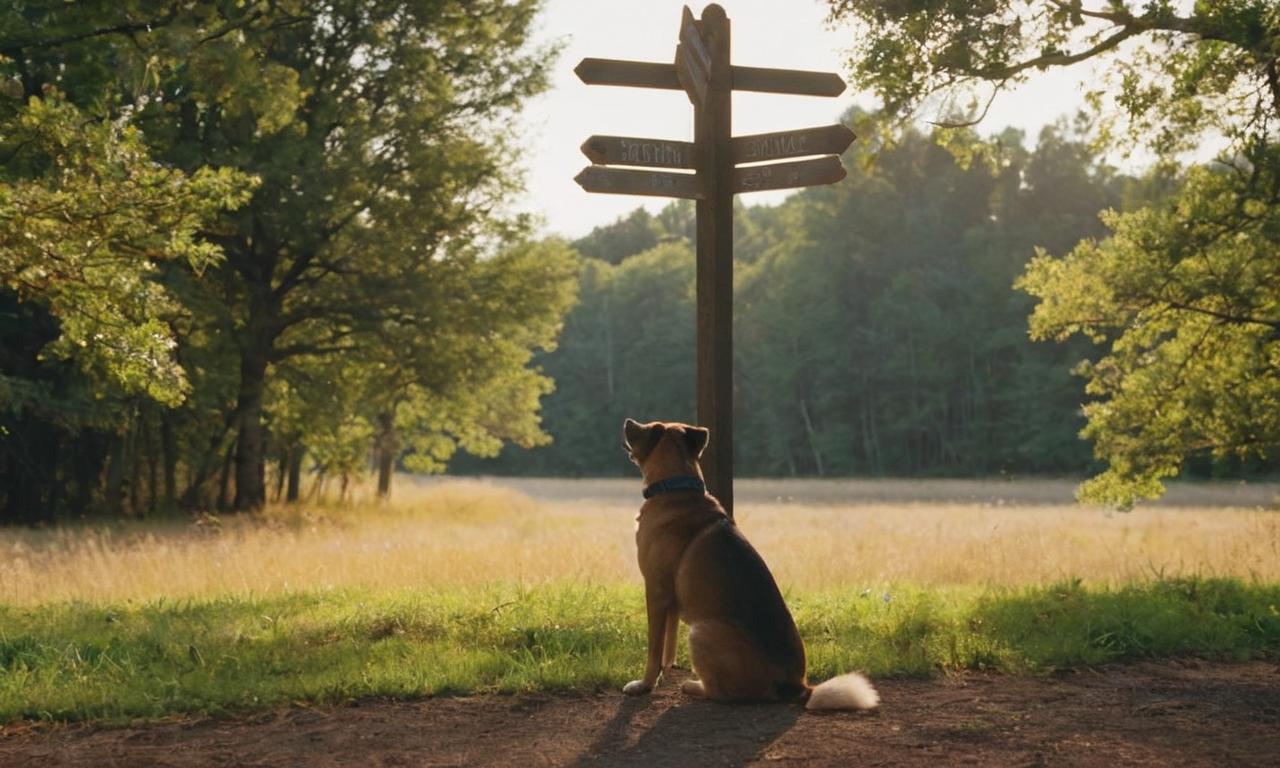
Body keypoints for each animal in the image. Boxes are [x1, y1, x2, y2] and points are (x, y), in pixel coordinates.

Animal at [619, 417, 880, 711]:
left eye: (647, 427)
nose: (628, 422)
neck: (675, 487)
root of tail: (798, 687)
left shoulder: (656, 591)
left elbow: (654, 648)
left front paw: (645, 684)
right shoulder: (671, 600)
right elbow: (668, 644)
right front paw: (665, 672)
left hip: (702, 632)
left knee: (722, 693)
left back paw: (694, 686)